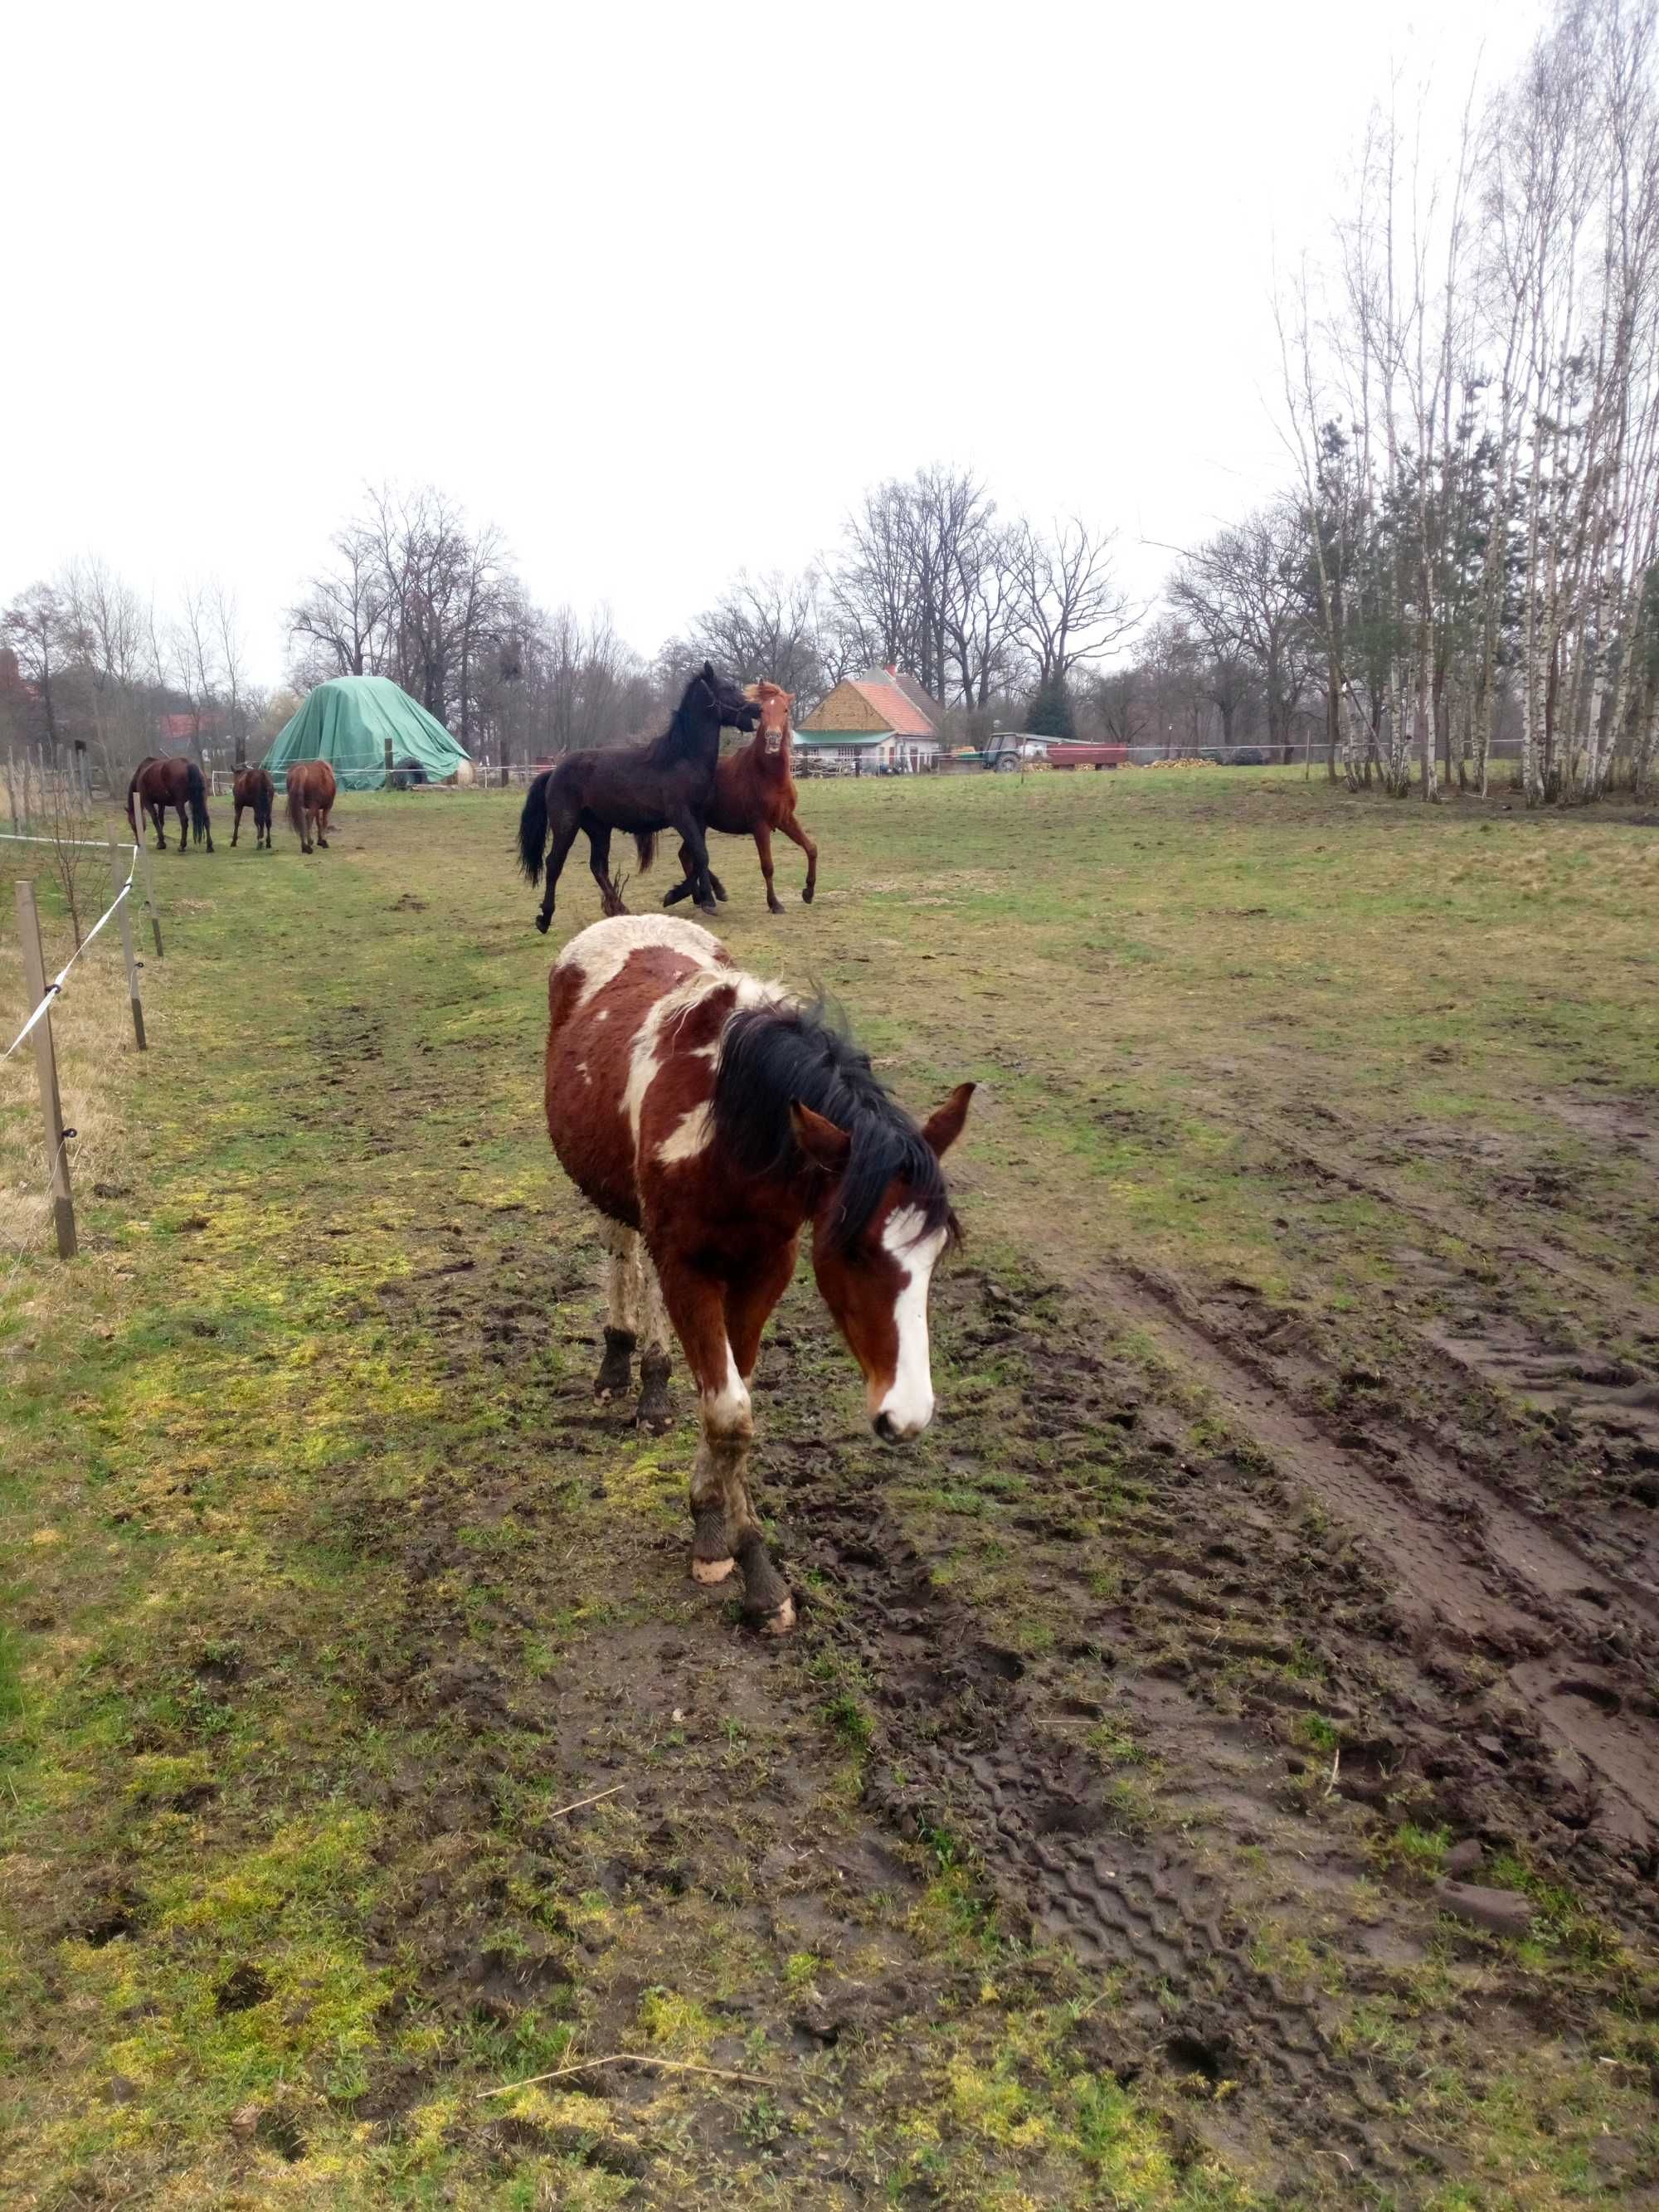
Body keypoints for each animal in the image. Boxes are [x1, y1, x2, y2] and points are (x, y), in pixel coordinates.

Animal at [518, 654, 765, 933]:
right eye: (728, 688)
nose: (758, 709)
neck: (682, 758)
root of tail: (554, 772)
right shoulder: (681, 816)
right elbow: (700, 855)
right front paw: (708, 901)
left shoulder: (698, 818)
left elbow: (697, 855)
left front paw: (690, 894)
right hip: (566, 825)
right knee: (554, 863)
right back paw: (545, 918)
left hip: (599, 828)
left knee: (598, 867)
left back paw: (619, 908)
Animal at [546, 907, 973, 1636]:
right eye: (853, 1248)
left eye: (936, 1252)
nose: (908, 1414)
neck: (730, 1130)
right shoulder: (689, 1268)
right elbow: (729, 1414)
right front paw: (751, 1564)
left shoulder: (761, 1270)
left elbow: (730, 1399)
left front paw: (715, 1526)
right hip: (606, 1190)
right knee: (622, 1250)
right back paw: (619, 1361)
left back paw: (653, 1385)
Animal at [664, 677, 818, 911]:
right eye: (762, 710)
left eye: (785, 709)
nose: (773, 738)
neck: (768, 775)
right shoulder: (760, 826)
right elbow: (768, 866)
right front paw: (775, 904)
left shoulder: (785, 819)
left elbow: (811, 848)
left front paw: (808, 892)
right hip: (694, 823)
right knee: (692, 856)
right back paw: (701, 894)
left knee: (687, 855)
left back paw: (702, 895)